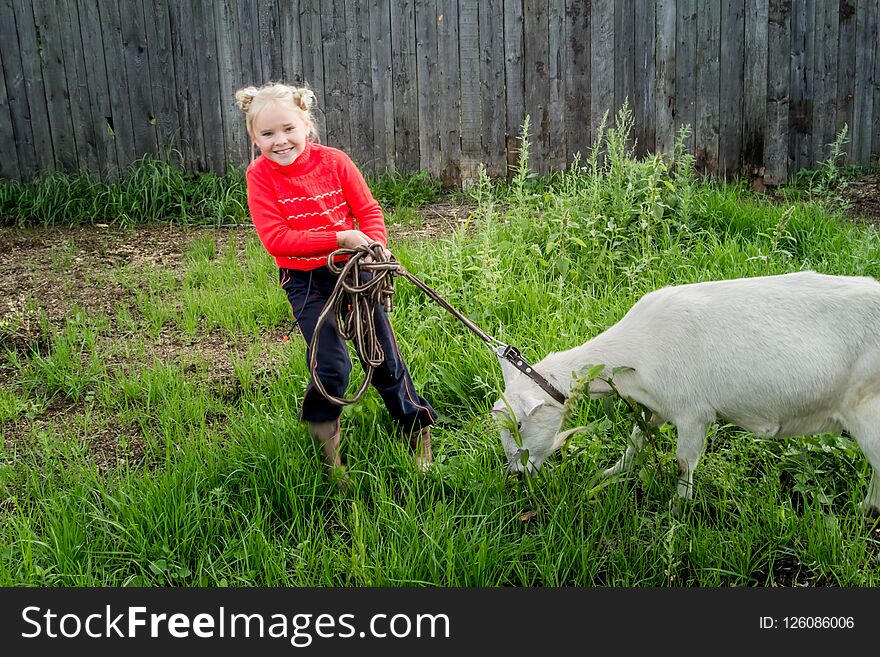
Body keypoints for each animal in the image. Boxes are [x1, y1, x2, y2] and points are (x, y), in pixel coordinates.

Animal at [492, 270, 880, 516]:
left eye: (519, 426)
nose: (515, 475)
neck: (636, 348)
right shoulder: (657, 406)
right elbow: (636, 441)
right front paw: (609, 473)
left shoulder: (693, 412)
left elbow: (683, 462)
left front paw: (676, 510)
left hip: (868, 408)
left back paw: (863, 510)